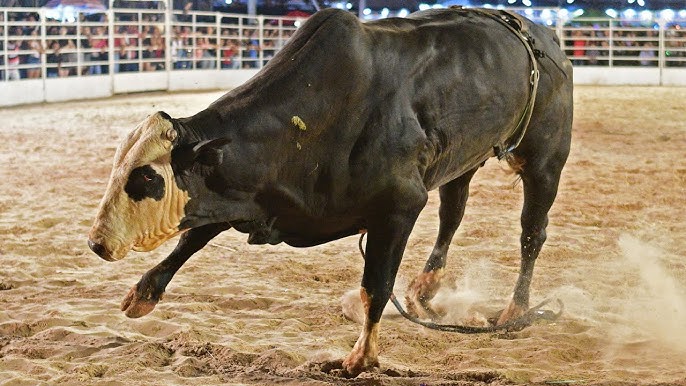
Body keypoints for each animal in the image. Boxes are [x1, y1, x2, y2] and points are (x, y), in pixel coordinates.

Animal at [91, 7, 576, 376]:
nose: (97, 243)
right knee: (452, 213)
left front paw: (361, 357)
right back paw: (425, 287)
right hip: (464, 158)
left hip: (545, 161)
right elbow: (193, 236)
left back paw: (514, 311)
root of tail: (545, 36)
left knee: (531, 233)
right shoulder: (244, 192)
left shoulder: (399, 207)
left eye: (146, 178)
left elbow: (375, 285)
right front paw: (142, 294)